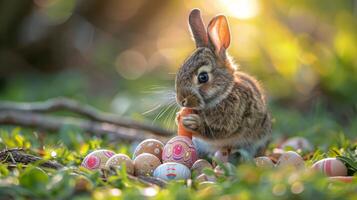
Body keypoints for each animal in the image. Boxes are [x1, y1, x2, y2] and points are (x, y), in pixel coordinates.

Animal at [174, 9, 272, 162]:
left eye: (203, 77)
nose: (181, 100)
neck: (224, 94)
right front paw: (179, 116)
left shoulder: (231, 120)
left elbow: (217, 131)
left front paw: (192, 123)